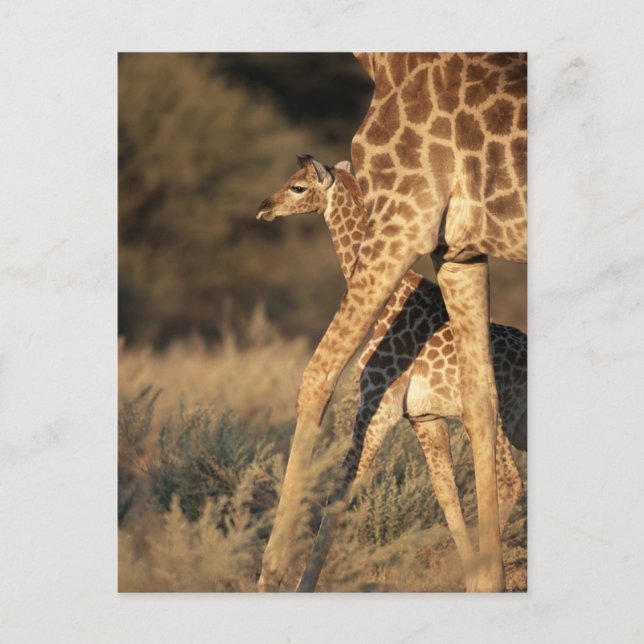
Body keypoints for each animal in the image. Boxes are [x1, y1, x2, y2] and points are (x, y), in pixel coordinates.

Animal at [258, 53, 527, 592]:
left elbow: (343, 486)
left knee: (513, 478)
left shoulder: (379, 401)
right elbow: (445, 492)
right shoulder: (422, 416)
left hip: (513, 420)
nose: (264, 208)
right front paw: (467, 570)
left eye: (298, 186)